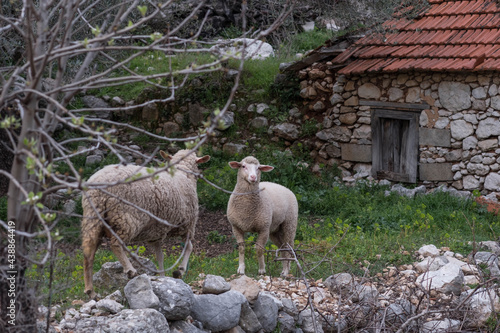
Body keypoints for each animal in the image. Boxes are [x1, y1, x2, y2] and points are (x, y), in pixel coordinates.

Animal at [81, 149, 209, 296]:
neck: (182, 173)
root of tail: (98, 187)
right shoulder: (188, 224)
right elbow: (189, 247)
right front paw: (180, 270)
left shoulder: (157, 233)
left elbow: (160, 256)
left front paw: (163, 276)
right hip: (126, 218)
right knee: (115, 244)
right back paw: (130, 270)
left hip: (93, 219)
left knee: (88, 252)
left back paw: (90, 290)